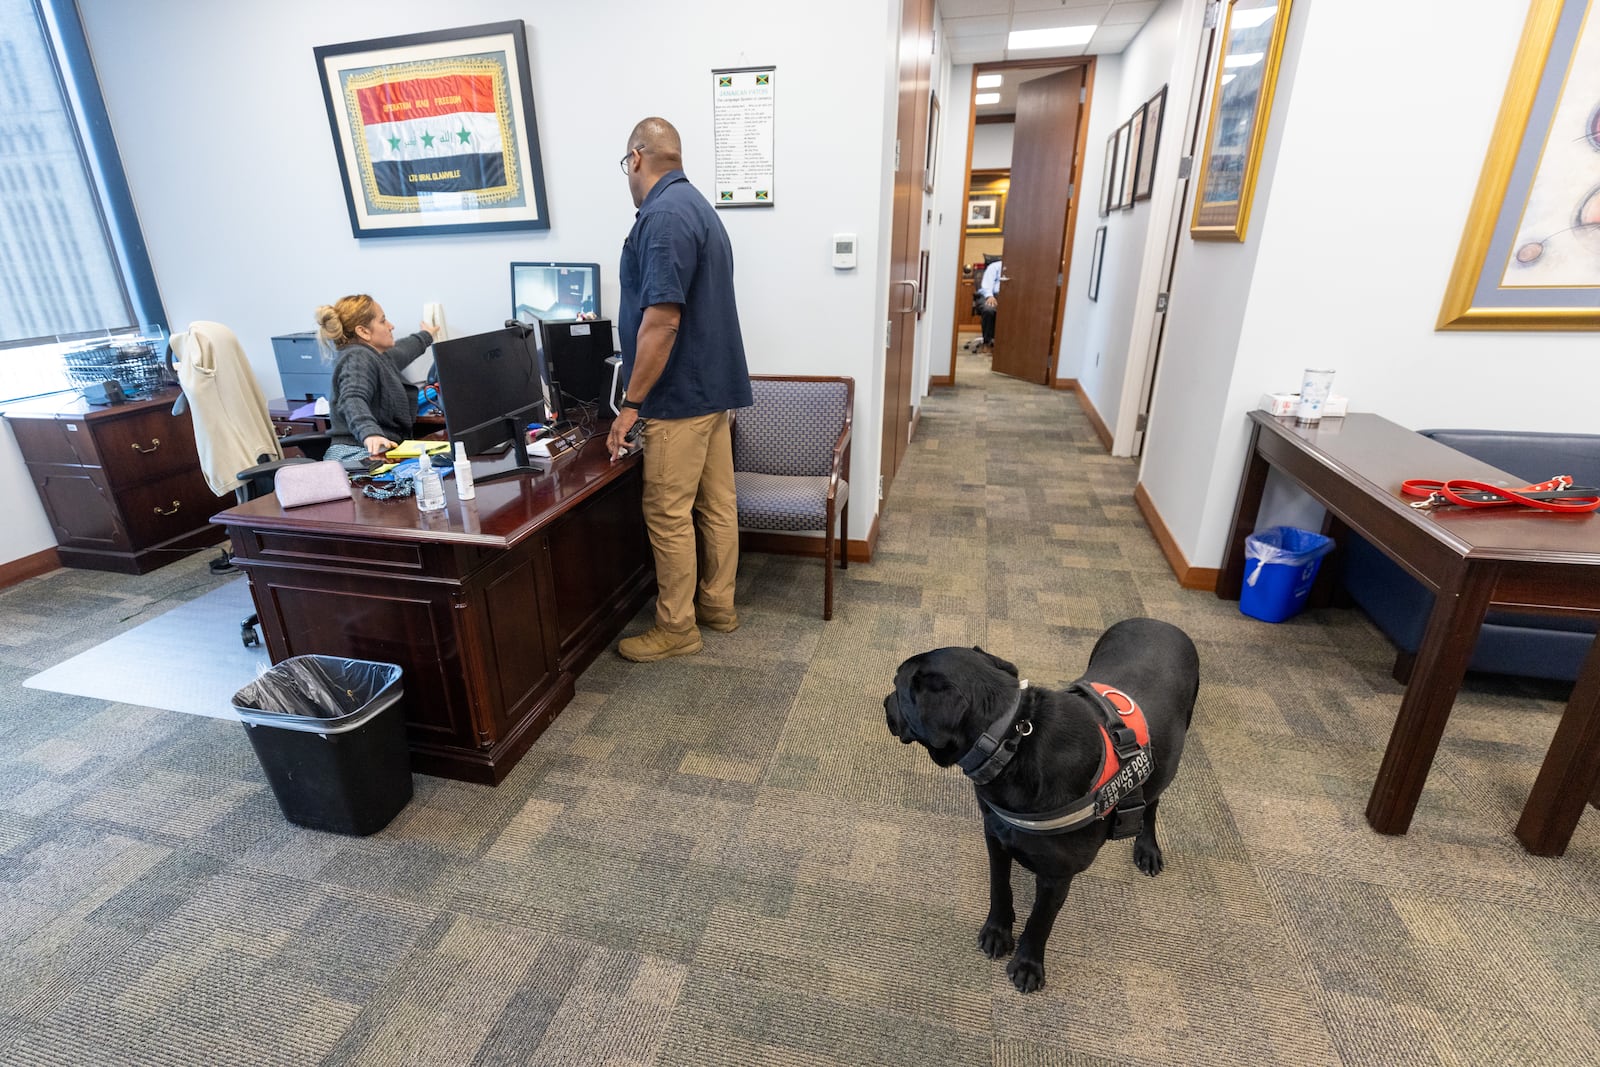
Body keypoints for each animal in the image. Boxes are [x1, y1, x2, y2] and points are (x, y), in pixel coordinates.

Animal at [883, 617, 1196, 991]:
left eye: (897, 686)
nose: (884, 702)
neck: (1010, 741)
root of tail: (1157, 621)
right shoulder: (996, 835)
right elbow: (999, 887)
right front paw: (997, 931)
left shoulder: (1057, 874)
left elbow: (1040, 920)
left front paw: (1028, 964)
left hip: (1168, 762)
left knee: (1152, 802)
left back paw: (1147, 848)